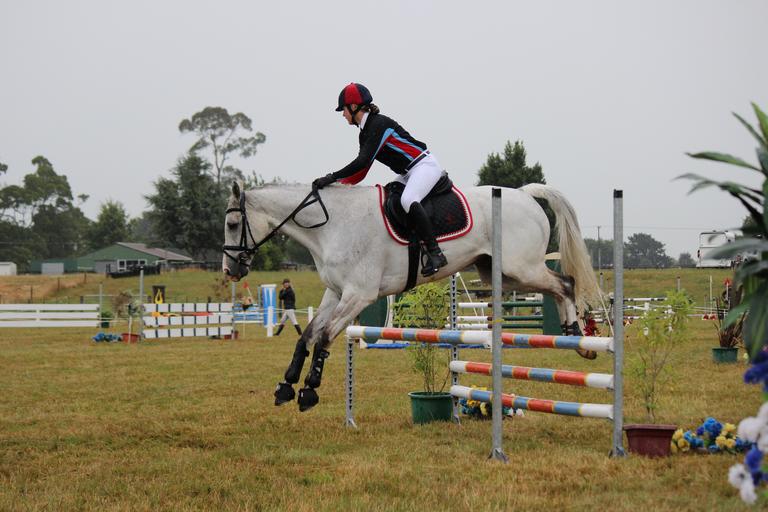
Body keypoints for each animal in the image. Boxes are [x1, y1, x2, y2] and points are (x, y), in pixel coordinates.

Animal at [222, 181, 600, 411]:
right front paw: (286, 386)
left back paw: (579, 338)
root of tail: (524, 194)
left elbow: (325, 337)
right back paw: (575, 336)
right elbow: (309, 335)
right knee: (559, 285)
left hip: (521, 268)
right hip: (502, 274)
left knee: (565, 283)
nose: (230, 270)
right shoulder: (336, 292)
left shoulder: (358, 295)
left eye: (231, 225)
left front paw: (309, 390)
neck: (331, 226)